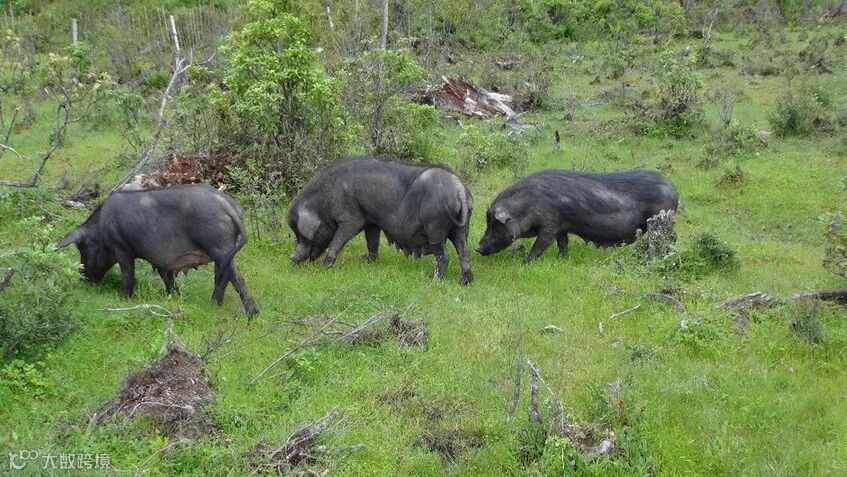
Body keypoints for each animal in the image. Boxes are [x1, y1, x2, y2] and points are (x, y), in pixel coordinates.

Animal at [57, 184, 259, 315]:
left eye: (82, 248)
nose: (83, 281)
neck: (101, 229)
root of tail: (227, 205)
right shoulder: (159, 259)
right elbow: (166, 277)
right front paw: (174, 296)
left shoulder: (121, 246)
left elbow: (128, 273)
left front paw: (123, 299)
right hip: (224, 250)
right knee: (228, 276)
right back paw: (235, 309)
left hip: (218, 246)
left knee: (232, 277)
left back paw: (229, 308)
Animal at [288, 156, 473, 284]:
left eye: (300, 233)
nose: (292, 258)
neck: (323, 202)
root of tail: (458, 189)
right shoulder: (371, 221)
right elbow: (372, 241)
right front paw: (366, 259)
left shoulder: (352, 219)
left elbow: (338, 239)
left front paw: (326, 266)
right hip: (461, 227)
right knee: (463, 250)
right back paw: (464, 281)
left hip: (435, 227)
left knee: (444, 255)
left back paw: (433, 279)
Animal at [476, 169, 678, 262]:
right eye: (489, 223)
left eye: (495, 225)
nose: (478, 248)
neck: (527, 206)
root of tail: (674, 190)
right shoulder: (561, 227)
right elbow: (563, 244)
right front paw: (562, 260)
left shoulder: (549, 225)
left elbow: (540, 245)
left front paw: (525, 262)